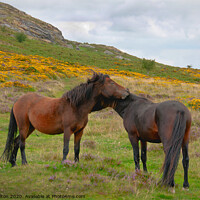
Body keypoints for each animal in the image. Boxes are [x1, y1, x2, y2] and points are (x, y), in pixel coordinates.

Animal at [0, 72, 129, 166]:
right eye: (112, 83)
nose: (127, 91)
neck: (75, 106)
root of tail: (17, 101)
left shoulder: (79, 131)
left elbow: (77, 148)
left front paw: (76, 163)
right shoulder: (67, 131)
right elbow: (66, 148)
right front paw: (64, 163)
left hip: (30, 128)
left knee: (16, 141)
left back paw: (13, 163)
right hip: (24, 126)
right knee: (21, 144)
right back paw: (24, 163)